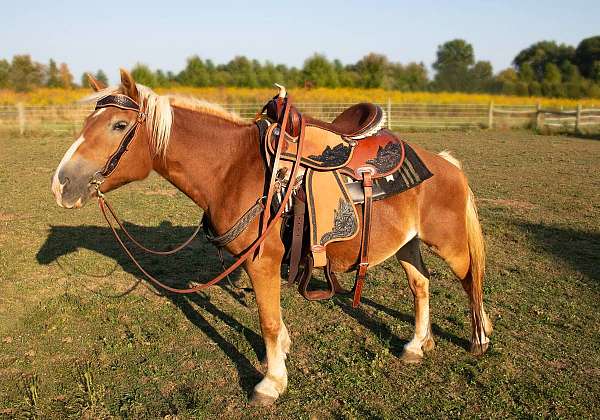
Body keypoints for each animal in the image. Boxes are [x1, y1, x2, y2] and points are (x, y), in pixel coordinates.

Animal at [51, 69, 492, 406]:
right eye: (86, 124)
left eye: (119, 125)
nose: (61, 184)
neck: (233, 169)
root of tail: (446, 164)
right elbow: (274, 320)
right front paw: (283, 351)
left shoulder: (261, 261)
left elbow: (266, 321)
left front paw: (271, 382)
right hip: (407, 244)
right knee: (422, 285)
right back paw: (418, 344)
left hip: (449, 243)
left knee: (471, 279)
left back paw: (480, 337)